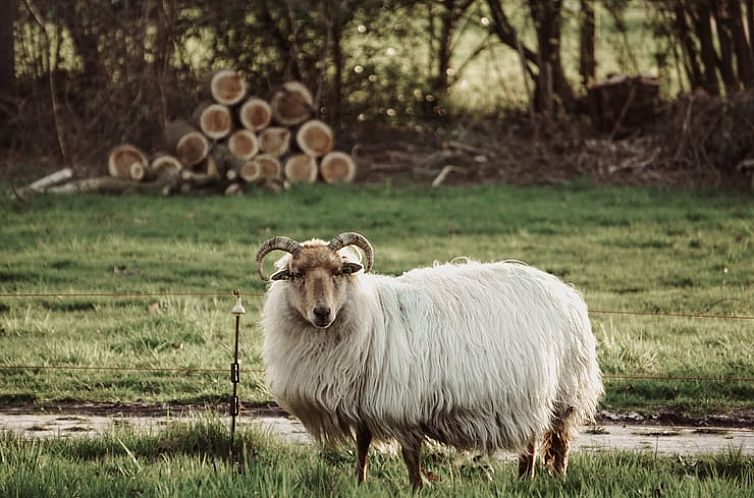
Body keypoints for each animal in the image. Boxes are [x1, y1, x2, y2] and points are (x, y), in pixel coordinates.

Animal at [256, 231, 604, 488]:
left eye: (339, 272)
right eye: (296, 274)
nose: (322, 313)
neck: (367, 316)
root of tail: (564, 290)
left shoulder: (403, 405)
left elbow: (410, 453)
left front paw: (417, 485)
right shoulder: (364, 403)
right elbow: (363, 445)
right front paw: (360, 481)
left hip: (564, 391)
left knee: (556, 439)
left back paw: (552, 477)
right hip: (532, 394)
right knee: (533, 438)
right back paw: (525, 478)